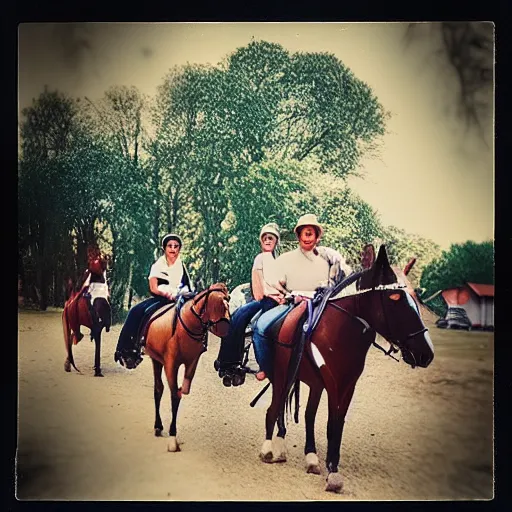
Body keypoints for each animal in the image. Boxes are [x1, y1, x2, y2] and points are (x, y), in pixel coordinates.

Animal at [142, 284, 230, 452]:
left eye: (228, 300)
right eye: (216, 302)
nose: (225, 328)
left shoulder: (192, 362)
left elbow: (183, 390)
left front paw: (183, 388)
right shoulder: (171, 364)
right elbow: (174, 396)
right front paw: (172, 438)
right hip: (156, 359)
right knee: (158, 389)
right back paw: (158, 426)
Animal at [258, 246, 434, 494]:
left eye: (416, 297)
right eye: (395, 298)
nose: (426, 354)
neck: (341, 330)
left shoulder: (348, 384)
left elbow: (337, 422)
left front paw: (331, 467)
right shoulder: (332, 381)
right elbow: (331, 421)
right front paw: (332, 473)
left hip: (312, 382)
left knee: (306, 414)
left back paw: (308, 456)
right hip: (282, 375)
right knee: (275, 406)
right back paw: (269, 448)